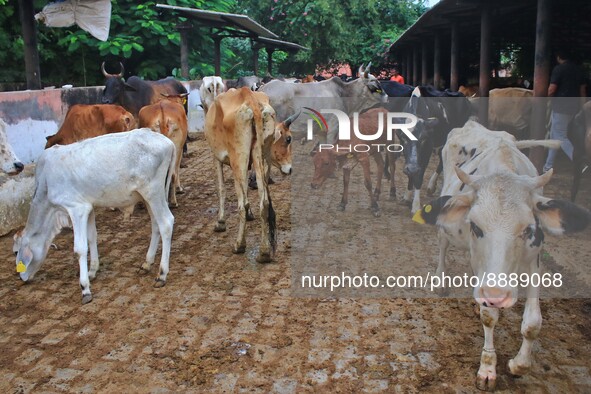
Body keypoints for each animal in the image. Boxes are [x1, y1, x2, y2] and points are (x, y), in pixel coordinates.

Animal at [12, 129, 175, 304]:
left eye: (16, 252)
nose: (21, 277)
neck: (46, 184)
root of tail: (168, 142)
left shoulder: (76, 208)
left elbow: (79, 249)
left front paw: (85, 288)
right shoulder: (88, 208)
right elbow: (92, 237)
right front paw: (92, 271)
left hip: (153, 191)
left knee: (166, 223)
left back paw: (162, 274)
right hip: (148, 197)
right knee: (156, 224)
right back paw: (147, 263)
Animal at [260, 63, 388, 145]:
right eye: (375, 86)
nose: (387, 97)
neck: (343, 94)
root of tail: (262, 89)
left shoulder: (321, 133)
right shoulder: (334, 128)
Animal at [412, 121, 591, 390]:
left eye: (528, 229)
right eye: (476, 227)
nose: (497, 294)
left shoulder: (535, 259)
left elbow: (533, 323)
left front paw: (519, 364)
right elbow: (489, 316)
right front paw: (487, 368)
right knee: (442, 244)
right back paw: (441, 281)